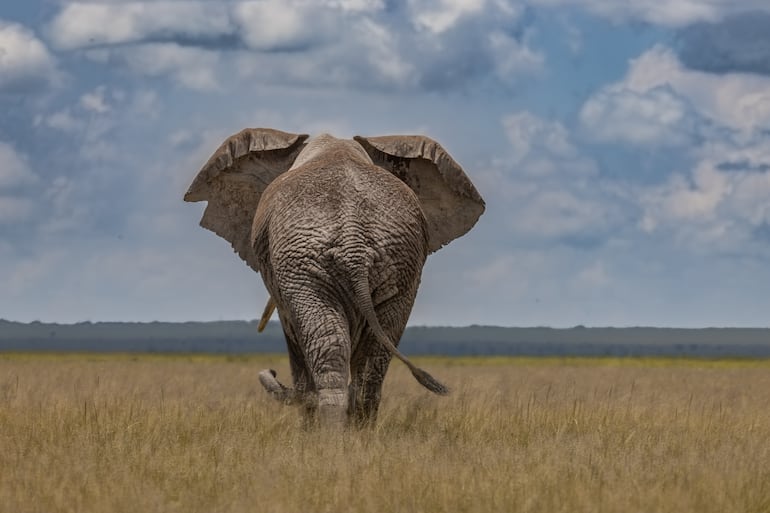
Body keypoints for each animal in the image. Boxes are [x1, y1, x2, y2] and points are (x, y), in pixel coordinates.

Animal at [184, 128, 484, 427]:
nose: (270, 371)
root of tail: (353, 238)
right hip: (400, 262)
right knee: (373, 356)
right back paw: (359, 433)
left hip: (305, 264)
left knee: (327, 344)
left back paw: (328, 435)